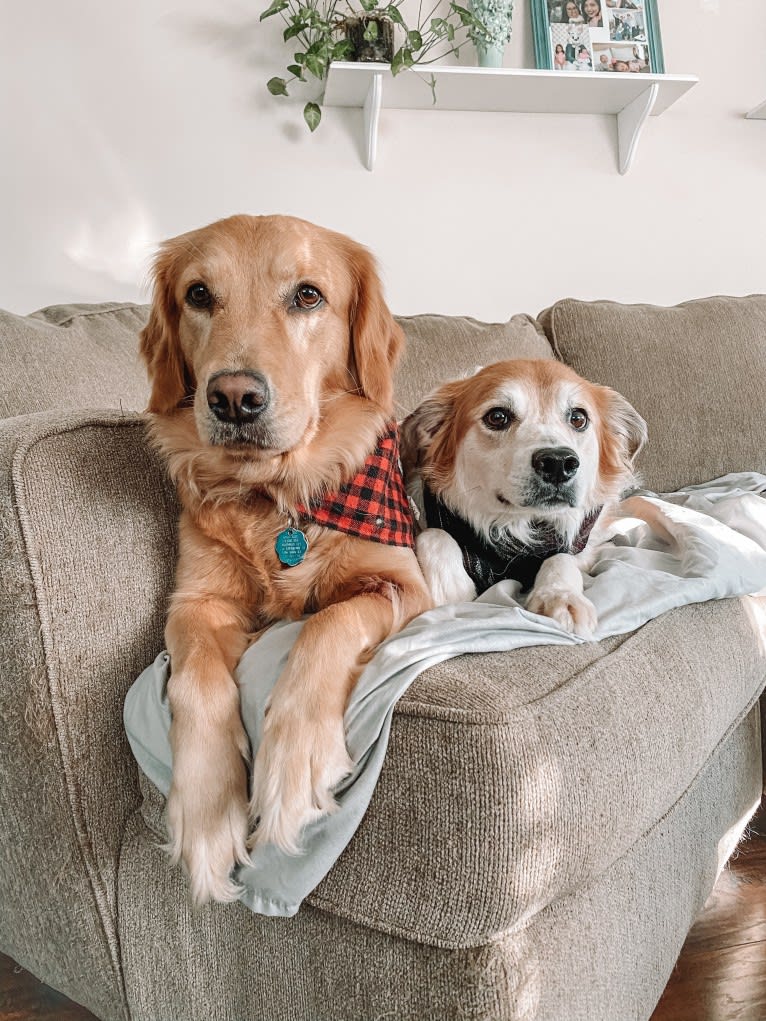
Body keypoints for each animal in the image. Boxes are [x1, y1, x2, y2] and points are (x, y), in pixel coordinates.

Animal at [402, 355, 649, 633]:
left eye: (578, 418)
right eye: (497, 417)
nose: (558, 463)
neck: (517, 534)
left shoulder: (582, 546)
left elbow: (562, 557)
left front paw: (559, 596)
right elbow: (435, 535)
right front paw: (451, 589)